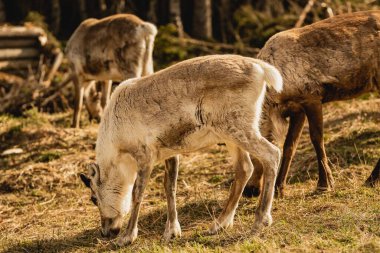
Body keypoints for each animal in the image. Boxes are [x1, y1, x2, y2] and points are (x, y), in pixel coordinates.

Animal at [80, 54, 282, 245]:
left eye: (93, 198)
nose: (106, 232)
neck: (118, 152)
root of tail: (261, 68)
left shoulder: (145, 155)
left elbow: (138, 193)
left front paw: (128, 237)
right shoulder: (169, 152)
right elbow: (170, 187)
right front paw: (172, 231)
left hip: (238, 127)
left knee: (272, 154)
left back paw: (261, 220)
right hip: (228, 133)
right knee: (245, 168)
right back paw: (219, 224)